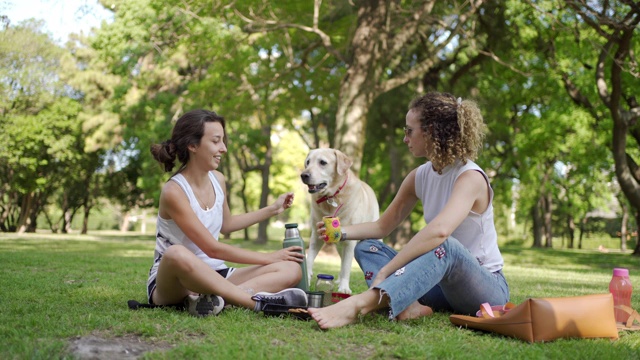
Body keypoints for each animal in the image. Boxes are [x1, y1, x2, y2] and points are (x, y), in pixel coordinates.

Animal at [302, 148, 380, 294]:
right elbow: (309, 259)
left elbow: (346, 267)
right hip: (339, 244)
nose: (303, 175)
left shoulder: (350, 243)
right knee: (342, 258)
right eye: (307, 162)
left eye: (323, 162)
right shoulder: (316, 234)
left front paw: (344, 288)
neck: (332, 197)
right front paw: (307, 281)